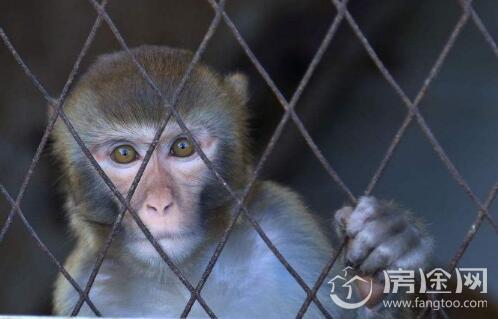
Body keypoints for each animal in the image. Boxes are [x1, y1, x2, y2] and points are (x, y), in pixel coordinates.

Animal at [50, 45, 432, 319]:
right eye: (124, 154)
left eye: (182, 147)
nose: (159, 204)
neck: (183, 276)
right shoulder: (84, 287)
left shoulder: (285, 224)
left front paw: (387, 256)